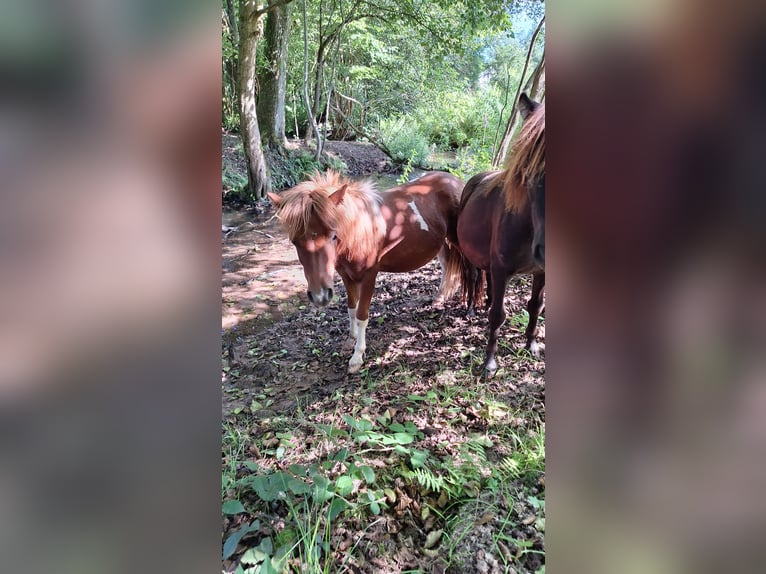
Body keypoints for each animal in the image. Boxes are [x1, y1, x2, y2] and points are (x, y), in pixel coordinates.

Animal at [268, 172, 464, 374]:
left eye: (333, 236)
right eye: (294, 242)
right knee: (446, 266)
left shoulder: (369, 277)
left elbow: (362, 314)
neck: (359, 231)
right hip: (443, 243)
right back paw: (440, 298)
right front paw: (351, 340)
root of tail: (454, 180)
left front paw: (357, 357)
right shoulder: (347, 276)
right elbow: (351, 308)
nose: (319, 296)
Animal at [456, 92, 544, 376]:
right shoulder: (502, 266)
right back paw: (472, 309)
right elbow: (497, 316)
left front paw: (531, 344)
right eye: (530, 167)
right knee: (474, 278)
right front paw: (490, 363)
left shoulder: (542, 271)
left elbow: (535, 306)